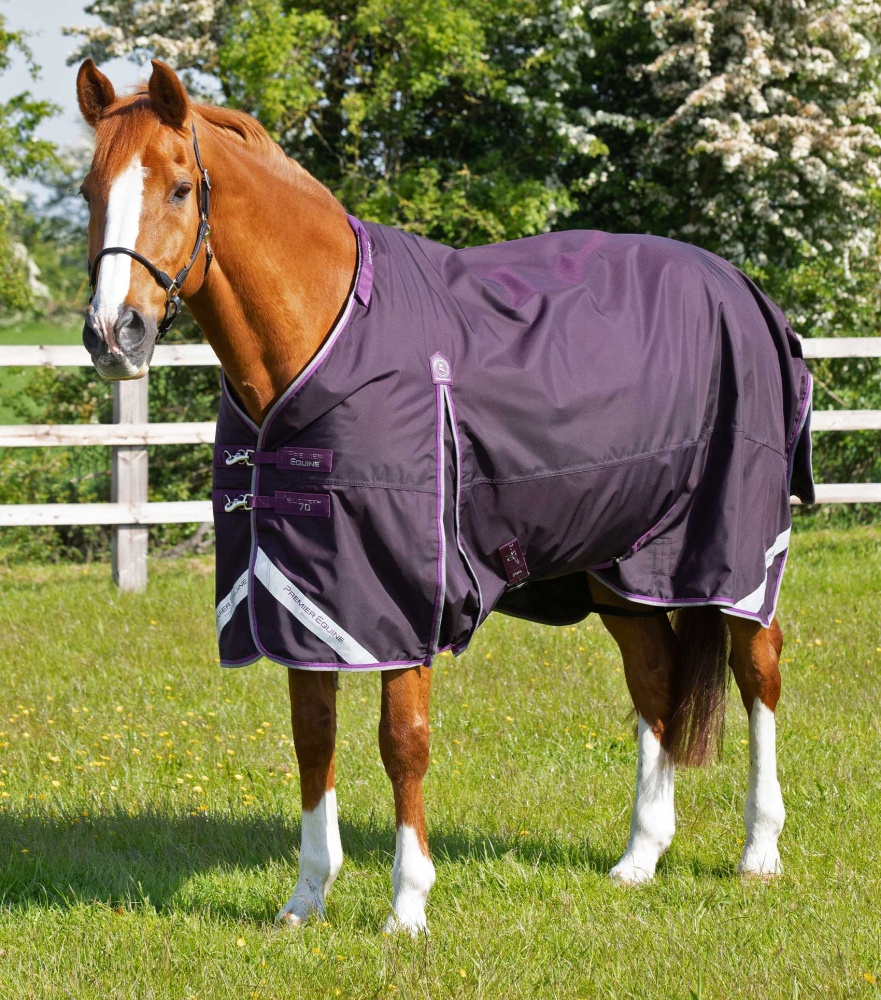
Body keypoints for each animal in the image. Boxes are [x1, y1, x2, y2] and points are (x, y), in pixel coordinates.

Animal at [76, 58, 814, 935]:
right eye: (90, 189)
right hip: (621, 567)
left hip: (733, 551)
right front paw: (306, 897)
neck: (327, 334)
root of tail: (740, 285)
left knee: (756, 671)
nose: (113, 334)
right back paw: (639, 856)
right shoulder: (302, 591)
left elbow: (403, 739)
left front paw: (407, 904)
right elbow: (312, 735)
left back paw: (759, 851)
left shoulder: (400, 594)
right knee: (656, 681)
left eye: (181, 188)